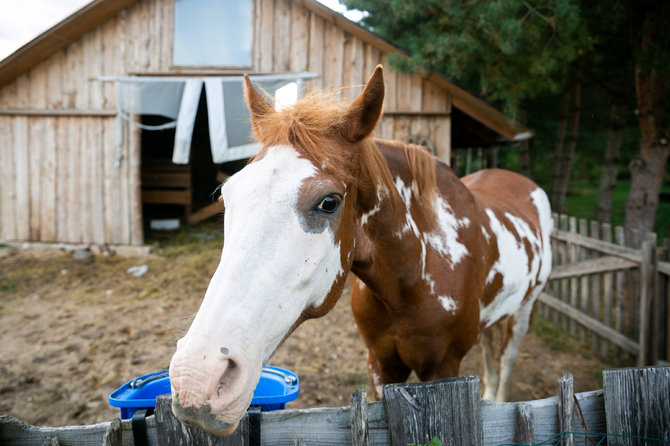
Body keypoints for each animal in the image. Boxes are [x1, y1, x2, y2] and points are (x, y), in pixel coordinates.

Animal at [171, 66, 552, 436]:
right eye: (227, 195)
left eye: (328, 202)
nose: (197, 377)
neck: (418, 274)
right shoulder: (380, 364)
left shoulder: (443, 369)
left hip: (525, 309)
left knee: (506, 357)